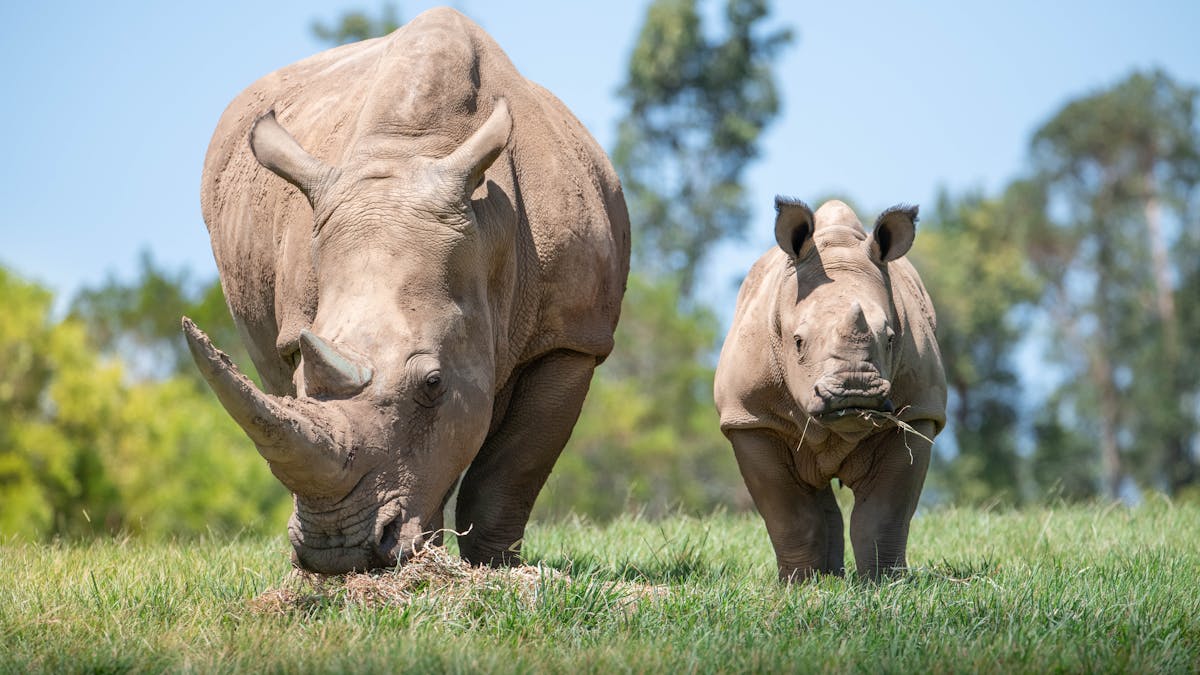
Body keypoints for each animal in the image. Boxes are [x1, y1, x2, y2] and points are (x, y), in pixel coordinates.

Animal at [184, 8, 630, 574]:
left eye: (433, 382)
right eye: (302, 378)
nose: (337, 551)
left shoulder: (572, 335)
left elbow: (513, 466)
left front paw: (495, 568)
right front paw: (425, 562)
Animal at [714, 198, 946, 581]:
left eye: (890, 338)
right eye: (797, 342)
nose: (855, 390)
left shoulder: (919, 412)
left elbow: (883, 516)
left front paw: (884, 583)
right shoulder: (751, 418)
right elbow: (791, 516)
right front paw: (798, 585)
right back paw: (822, 578)